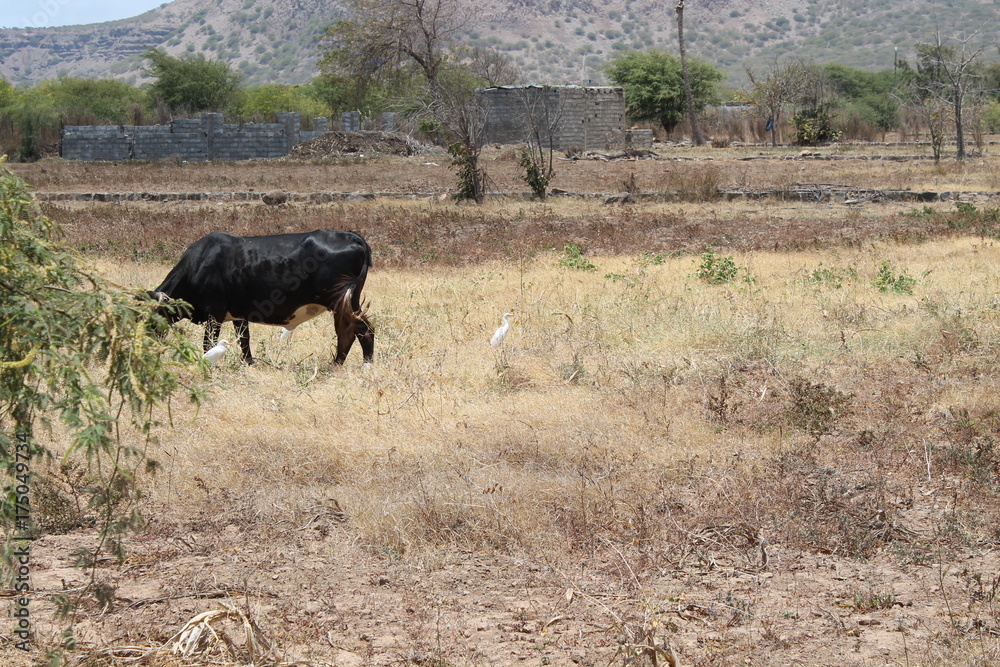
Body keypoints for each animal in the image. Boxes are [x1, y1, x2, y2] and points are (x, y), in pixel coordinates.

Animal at [150, 230, 376, 366]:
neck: (198, 264)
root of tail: (349, 235)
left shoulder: (214, 314)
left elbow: (209, 344)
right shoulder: (239, 315)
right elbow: (244, 340)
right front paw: (249, 363)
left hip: (342, 301)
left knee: (363, 330)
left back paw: (364, 365)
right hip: (344, 304)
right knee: (347, 332)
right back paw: (336, 364)